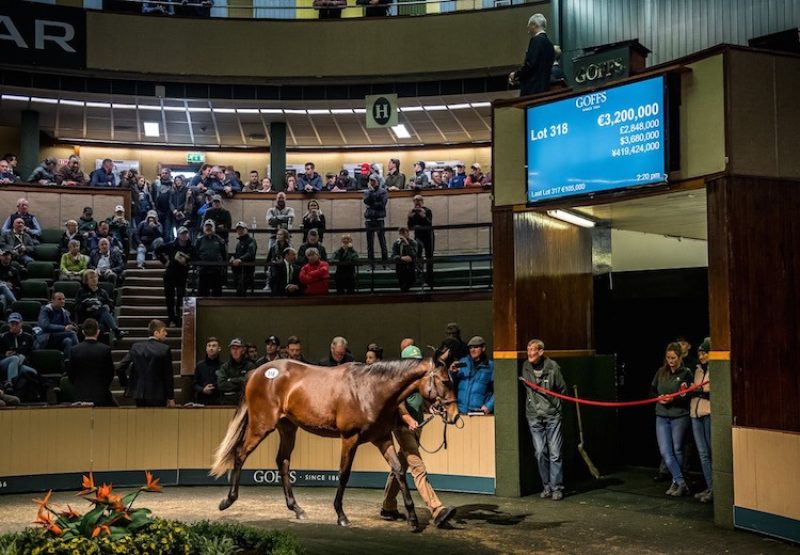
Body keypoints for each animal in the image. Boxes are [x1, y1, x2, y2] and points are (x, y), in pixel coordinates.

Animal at [209, 354, 460, 532]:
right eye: (445, 380)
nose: (455, 416)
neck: (371, 390)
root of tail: (256, 372)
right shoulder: (350, 438)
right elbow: (343, 474)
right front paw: (341, 516)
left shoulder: (381, 438)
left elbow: (398, 470)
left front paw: (413, 519)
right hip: (261, 426)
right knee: (240, 453)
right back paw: (227, 501)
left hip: (287, 427)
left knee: (283, 461)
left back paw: (297, 508)